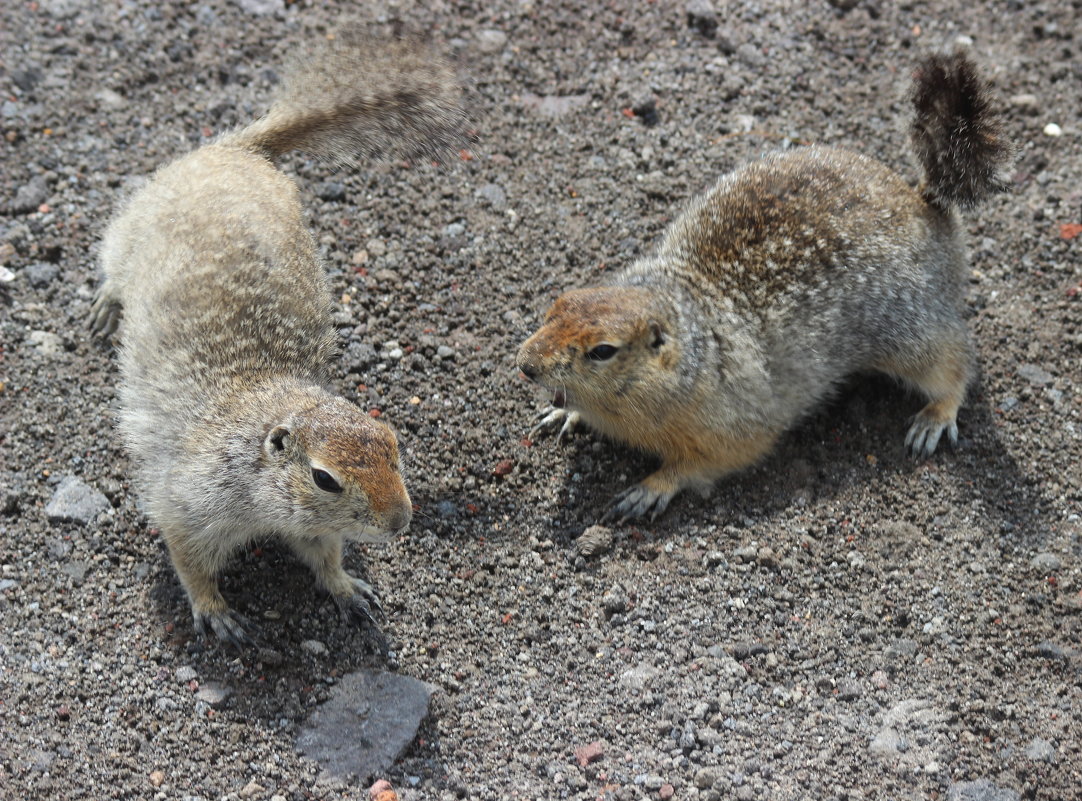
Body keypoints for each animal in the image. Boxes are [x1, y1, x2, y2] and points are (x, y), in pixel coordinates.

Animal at [89, 28, 465, 649]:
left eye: (394, 446)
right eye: (324, 479)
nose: (400, 522)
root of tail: (238, 151)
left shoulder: (310, 529)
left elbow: (325, 553)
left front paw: (346, 589)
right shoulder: (187, 505)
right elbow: (188, 560)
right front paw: (216, 611)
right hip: (129, 231)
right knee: (113, 269)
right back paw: (104, 306)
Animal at [515, 53, 1012, 521]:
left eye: (603, 351)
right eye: (557, 304)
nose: (525, 365)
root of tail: (925, 201)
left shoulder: (729, 425)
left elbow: (710, 461)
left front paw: (649, 489)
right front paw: (563, 411)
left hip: (911, 332)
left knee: (955, 361)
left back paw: (934, 418)